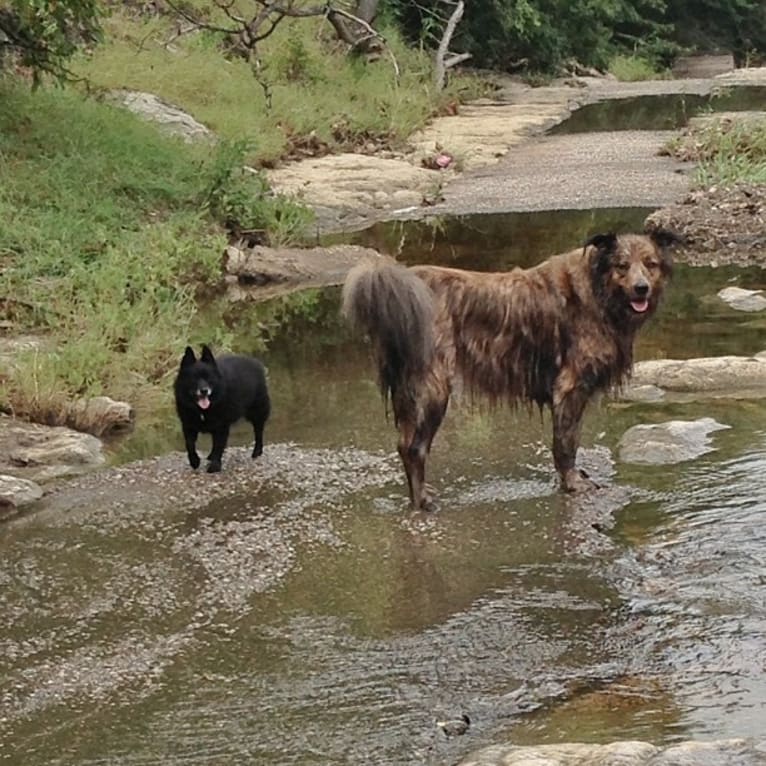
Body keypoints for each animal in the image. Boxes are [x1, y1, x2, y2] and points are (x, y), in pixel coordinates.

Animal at [176, 344, 272, 472]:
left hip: (257, 412)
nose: (204, 391)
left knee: (258, 432)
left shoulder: (221, 426)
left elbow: (218, 445)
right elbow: (190, 445)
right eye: (194, 378)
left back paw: (257, 452)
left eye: (209, 377)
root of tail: (255, 362)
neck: (202, 411)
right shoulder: (188, 425)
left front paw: (215, 466)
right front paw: (194, 461)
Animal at [344, 231, 676, 512]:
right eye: (622, 265)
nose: (642, 288)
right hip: (433, 388)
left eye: (650, 264)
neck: (598, 291)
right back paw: (422, 501)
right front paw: (572, 483)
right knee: (414, 447)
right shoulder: (569, 386)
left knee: (404, 444)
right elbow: (566, 443)